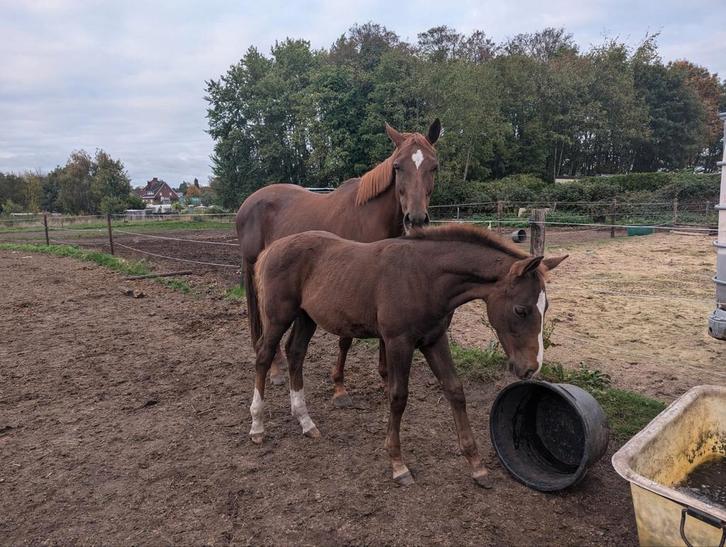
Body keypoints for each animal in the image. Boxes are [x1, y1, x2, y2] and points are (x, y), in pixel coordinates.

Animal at [236, 119, 442, 400]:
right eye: (397, 166)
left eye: (434, 166)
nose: (417, 219)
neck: (370, 217)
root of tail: (247, 203)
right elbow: (345, 339)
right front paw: (340, 386)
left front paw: (385, 378)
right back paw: (276, 370)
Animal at [249, 224, 567, 487]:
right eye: (521, 310)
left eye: (546, 307)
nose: (531, 368)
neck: (426, 277)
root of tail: (270, 249)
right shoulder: (398, 342)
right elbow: (398, 396)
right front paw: (398, 464)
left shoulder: (434, 340)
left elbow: (455, 390)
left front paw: (476, 466)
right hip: (278, 316)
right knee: (264, 355)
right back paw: (257, 426)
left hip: (306, 317)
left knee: (296, 353)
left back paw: (306, 422)